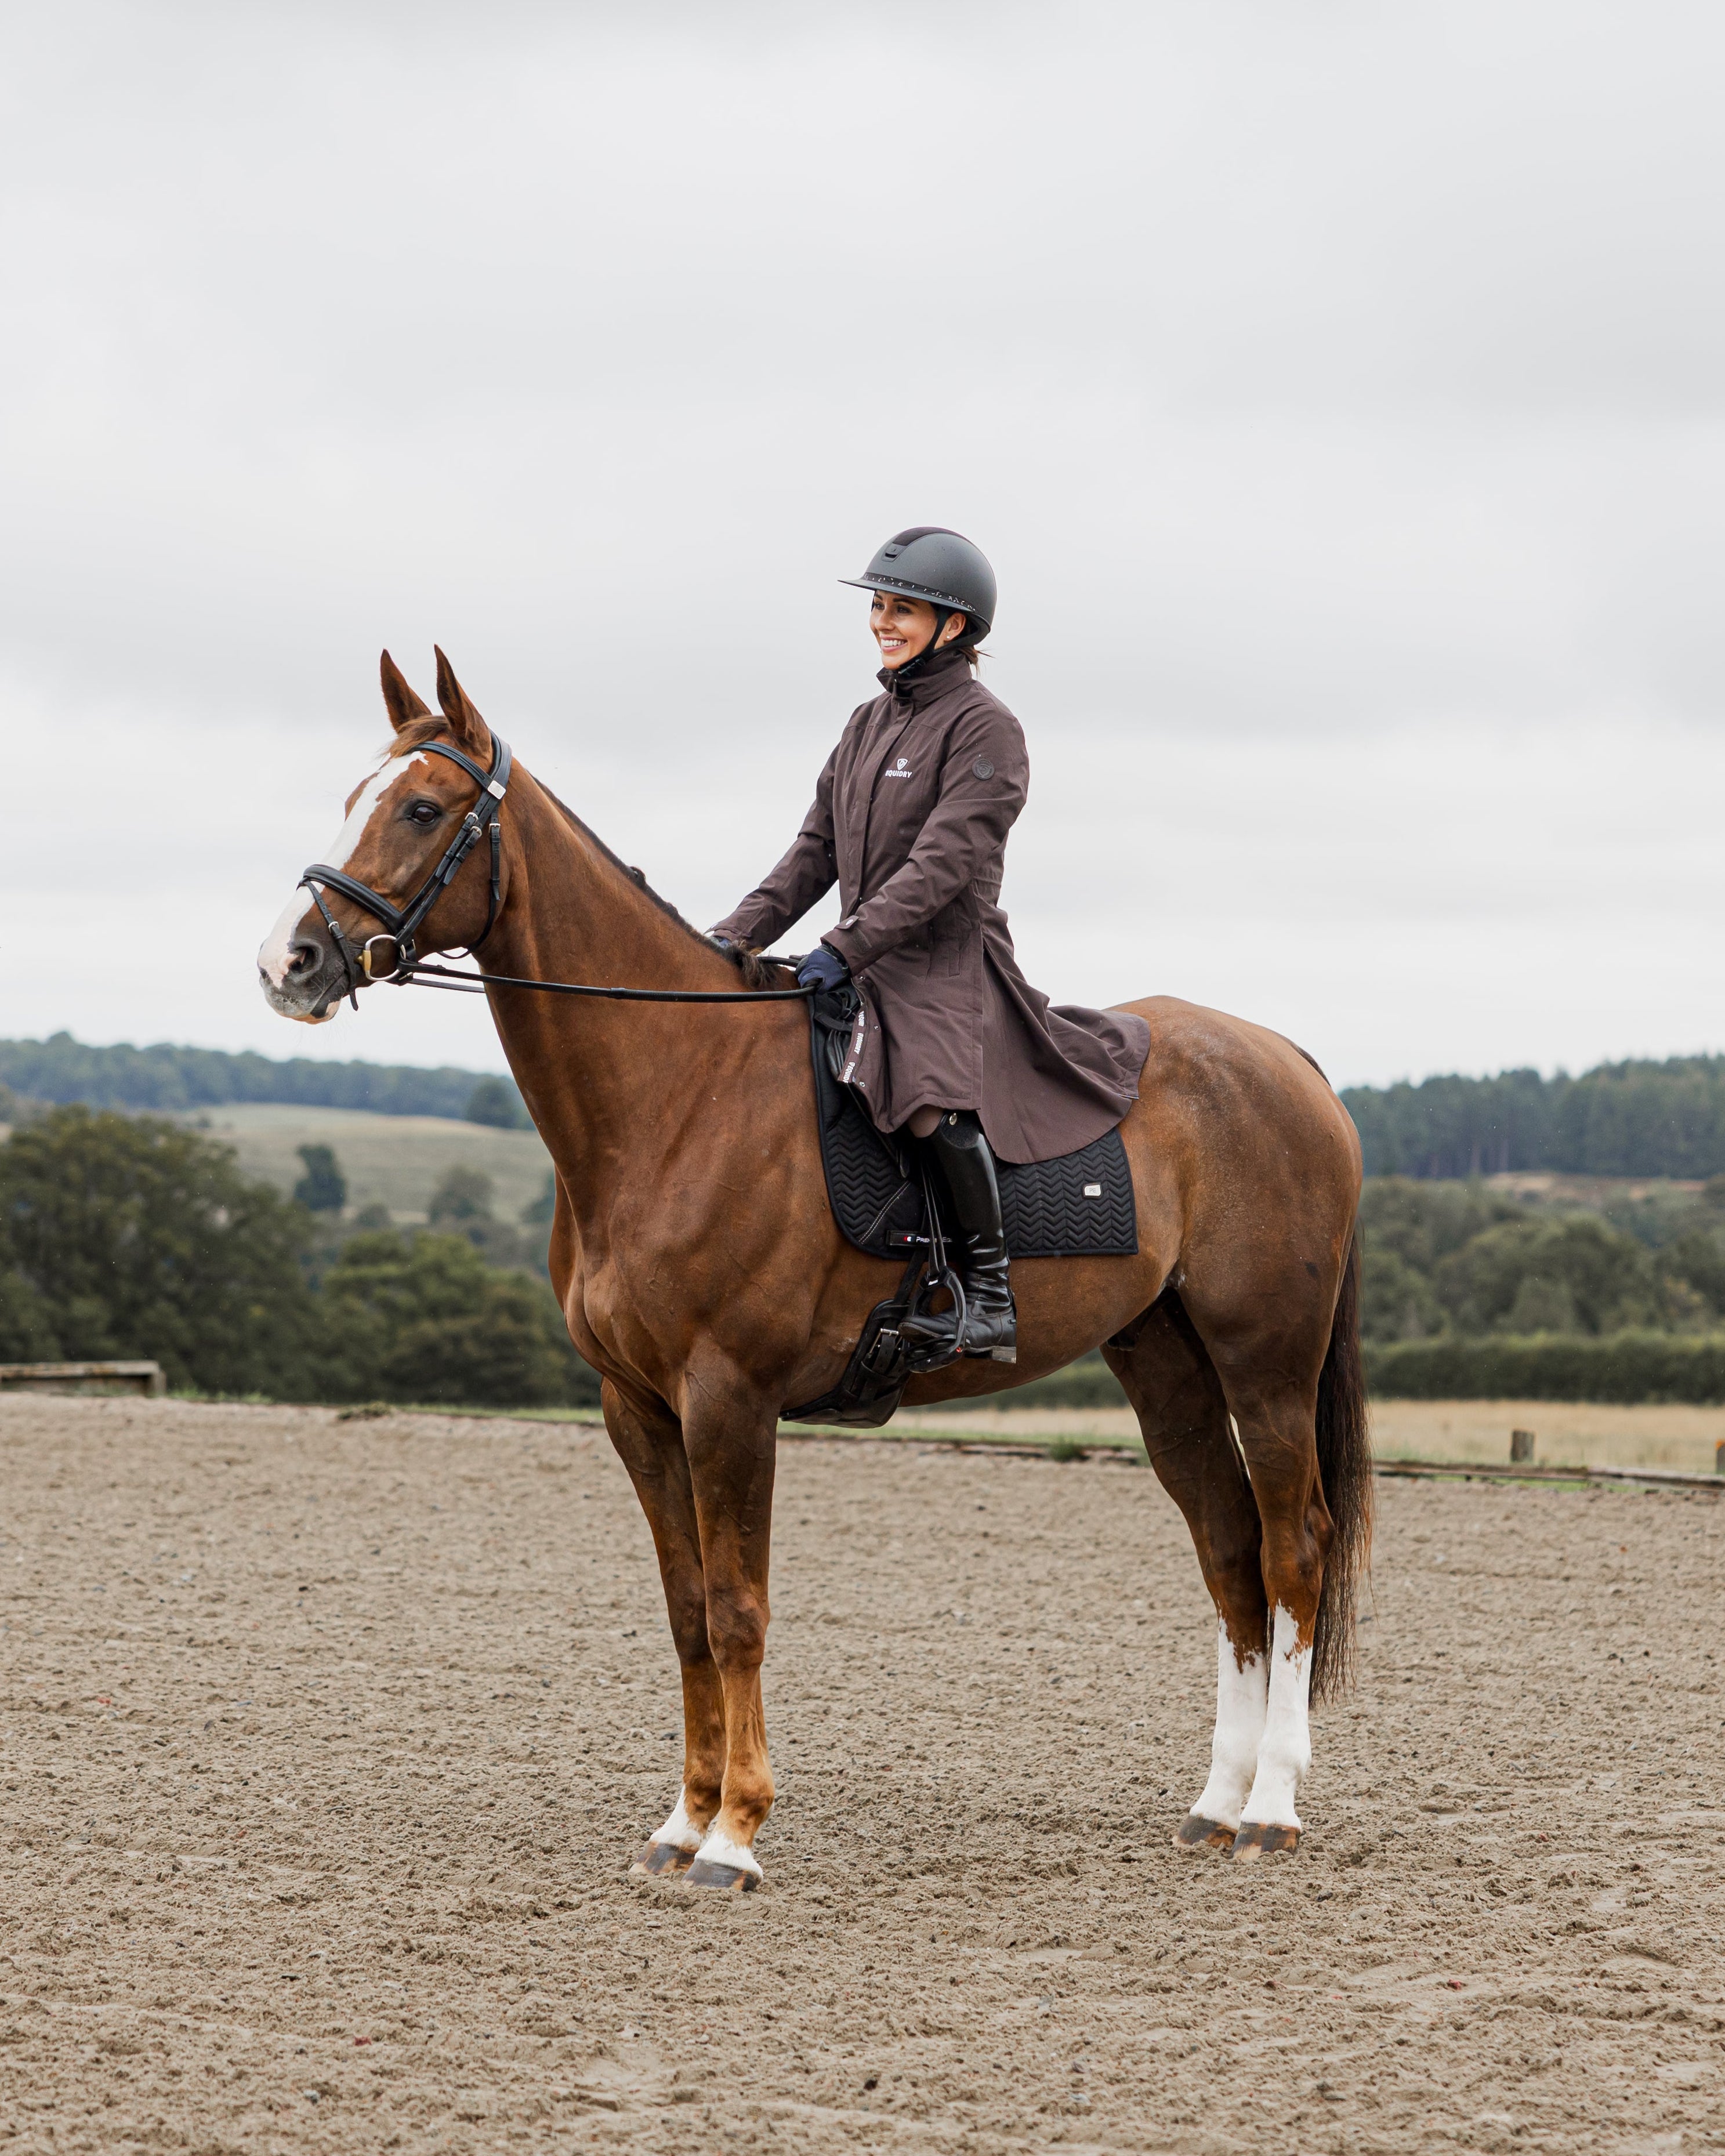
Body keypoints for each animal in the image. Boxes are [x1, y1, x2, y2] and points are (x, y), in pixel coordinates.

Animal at [258, 649, 1371, 1888]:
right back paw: (1215, 1802)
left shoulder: (727, 1397)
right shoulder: (636, 1406)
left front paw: (734, 1835)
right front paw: (682, 1820)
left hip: (1262, 1361)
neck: (675, 1094)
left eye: (419, 808)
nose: (287, 961)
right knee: (1227, 1549)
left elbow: (738, 1608)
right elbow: (687, 1610)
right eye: (354, 798)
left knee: (1291, 1547)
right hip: (1164, 1364)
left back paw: (1269, 1806)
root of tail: (1285, 1060)